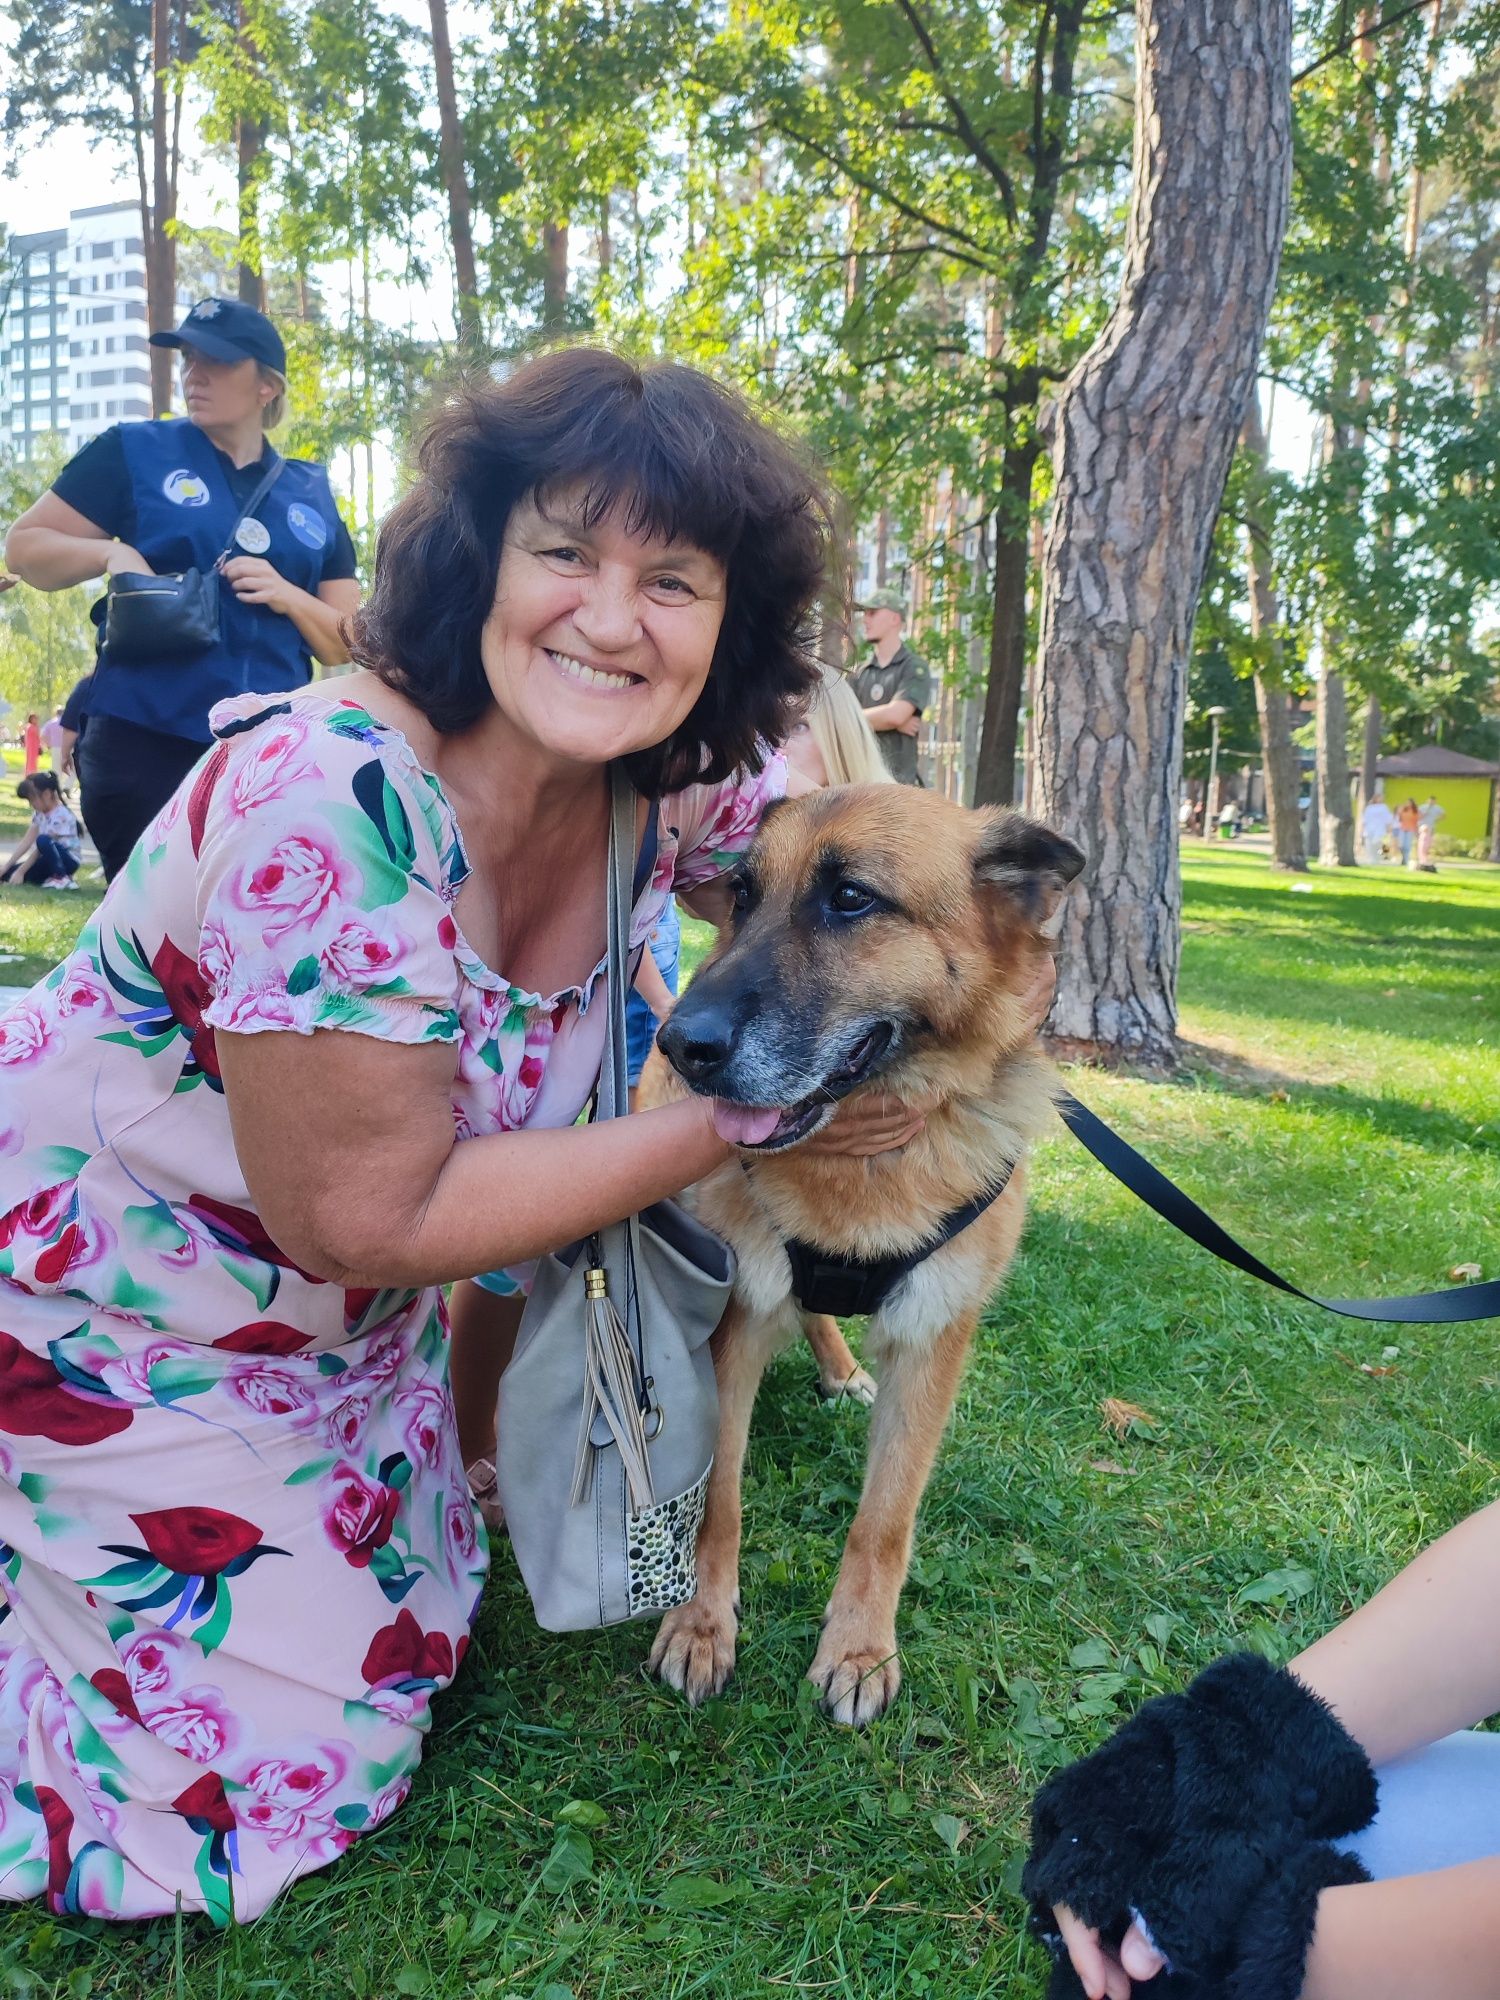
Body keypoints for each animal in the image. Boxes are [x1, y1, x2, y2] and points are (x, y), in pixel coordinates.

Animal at [640, 788, 1088, 1728]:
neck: (865, 1165)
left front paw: (857, 1648)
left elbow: (884, 1518)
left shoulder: (930, 1344)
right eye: (742, 896)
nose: (680, 1044)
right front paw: (701, 1625)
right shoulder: (736, 1328)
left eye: (851, 899)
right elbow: (718, 1500)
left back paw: (842, 1370)